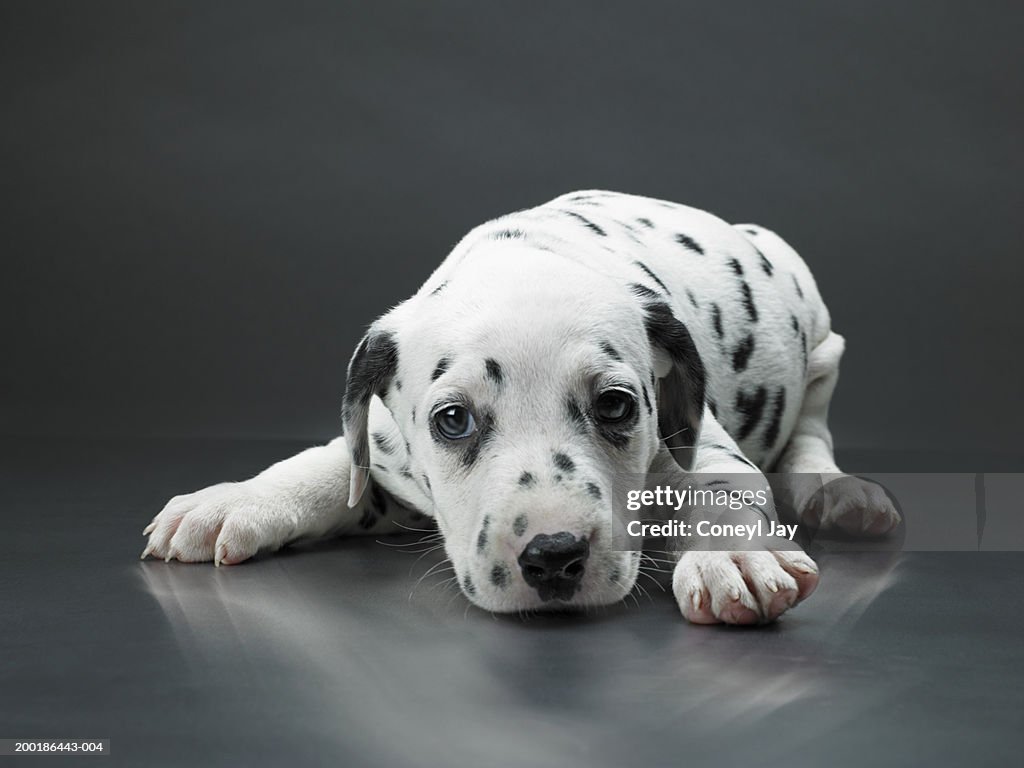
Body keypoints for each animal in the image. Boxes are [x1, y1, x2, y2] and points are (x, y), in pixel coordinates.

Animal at [140, 191, 901, 626]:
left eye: (616, 406)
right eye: (452, 420)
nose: (554, 557)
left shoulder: (699, 440)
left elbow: (716, 487)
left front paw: (736, 555)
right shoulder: (383, 447)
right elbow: (330, 466)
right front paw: (233, 501)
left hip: (816, 329)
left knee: (812, 426)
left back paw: (840, 492)